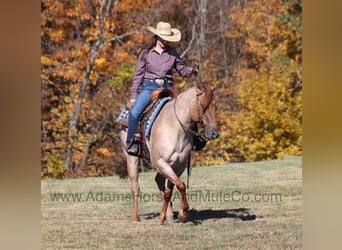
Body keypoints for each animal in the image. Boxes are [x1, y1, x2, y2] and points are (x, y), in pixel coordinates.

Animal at [119, 84, 219, 225]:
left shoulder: (179, 165)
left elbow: (171, 189)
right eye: (202, 105)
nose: (214, 133)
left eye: (215, 106)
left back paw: (169, 214)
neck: (175, 127)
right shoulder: (160, 162)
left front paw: (174, 215)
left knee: (159, 180)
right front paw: (182, 213)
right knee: (135, 187)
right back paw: (136, 216)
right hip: (131, 158)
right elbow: (181, 185)